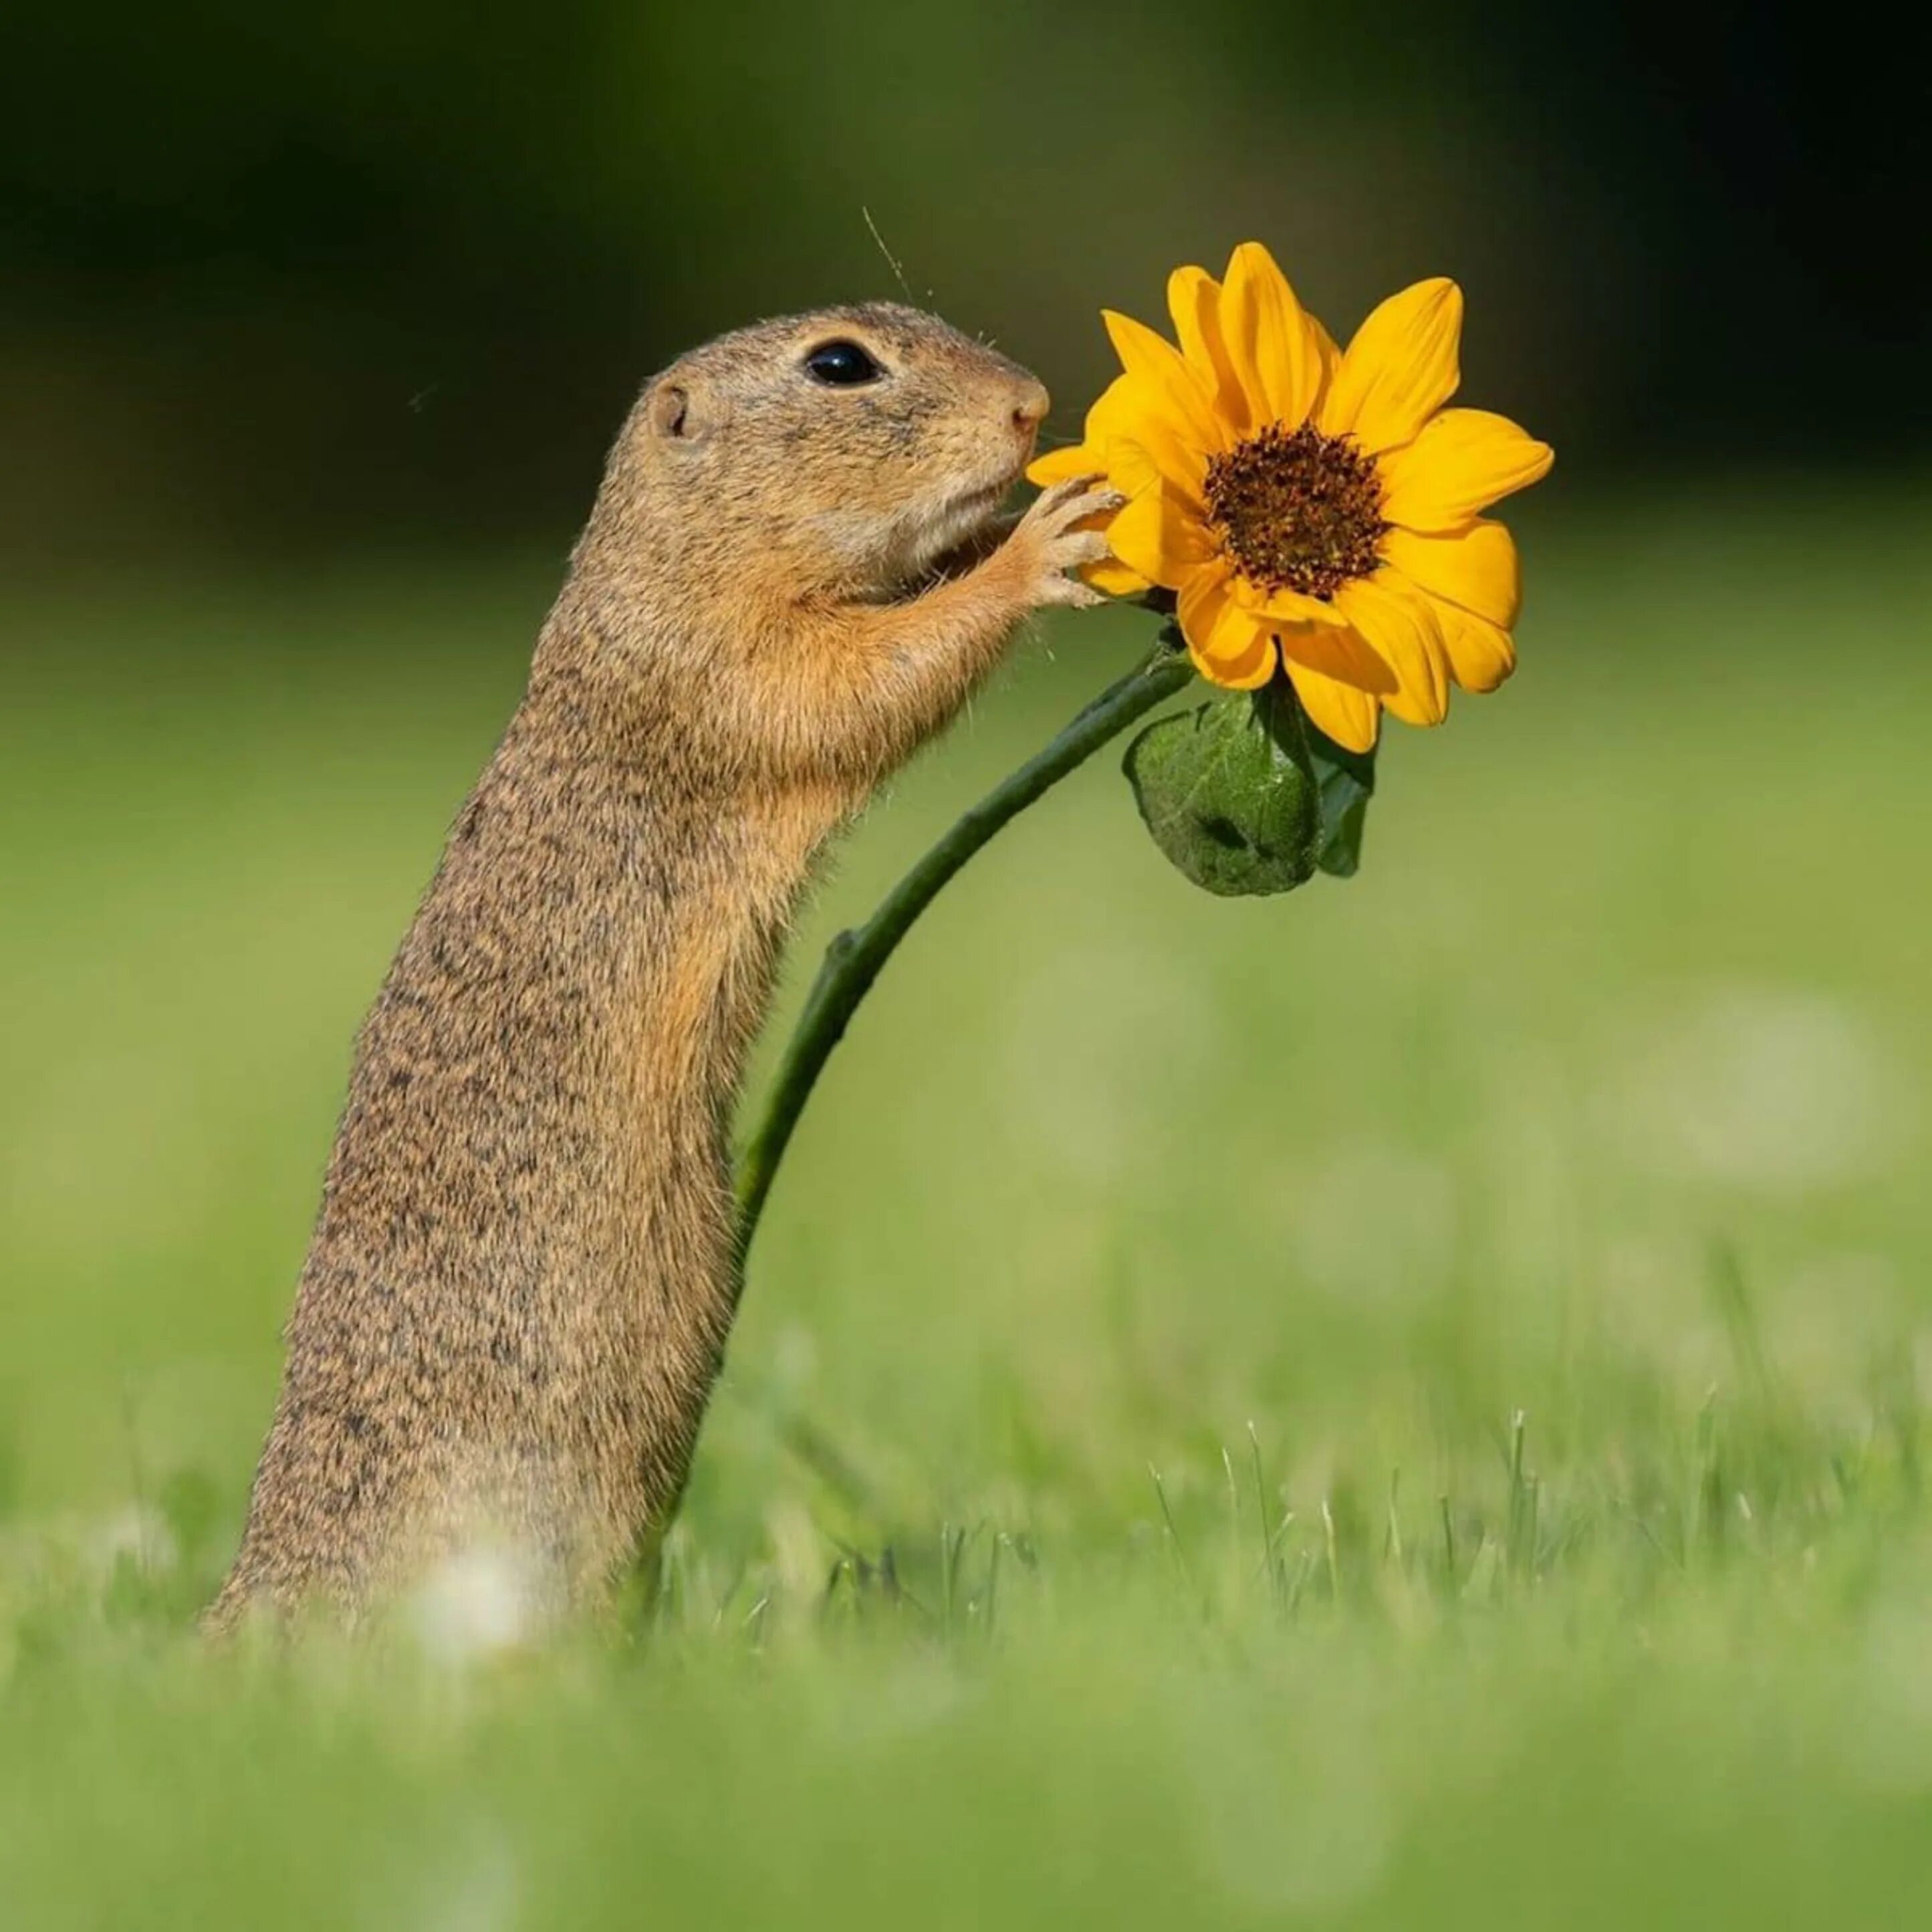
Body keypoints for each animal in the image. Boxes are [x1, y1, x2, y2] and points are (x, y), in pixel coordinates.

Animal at [205, 301, 1120, 1631]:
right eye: (839, 364)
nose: (1033, 405)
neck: (663, 563)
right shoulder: (720, 668)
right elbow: (864, 679)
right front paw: (1041, 542)